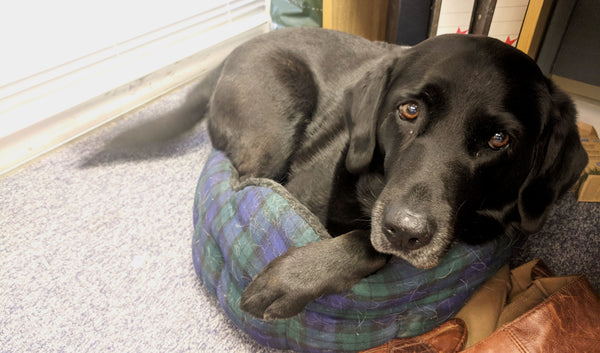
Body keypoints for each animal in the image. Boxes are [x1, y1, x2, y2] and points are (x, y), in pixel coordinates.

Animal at [191, 28, 584, 320]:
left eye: (499, 139)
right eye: (409, 110)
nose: (405, 232)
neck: (371, 191)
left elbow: (366, 243)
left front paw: (294, 277)